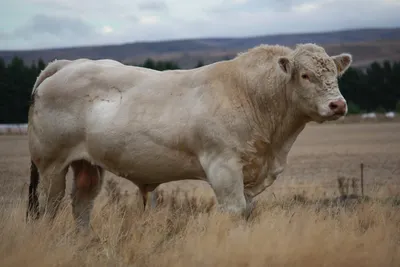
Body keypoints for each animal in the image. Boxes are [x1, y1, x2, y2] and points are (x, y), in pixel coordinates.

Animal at [26, 43, 352, 231]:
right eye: (305, 75)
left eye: (335, 75)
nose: (338, 105)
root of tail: (69, 63)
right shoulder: (223, 166)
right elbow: (235, 212)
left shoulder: (249, 172)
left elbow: (247, 212)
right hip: (51, 165)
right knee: (51, 207)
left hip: (87, 165)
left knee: (81, 204)